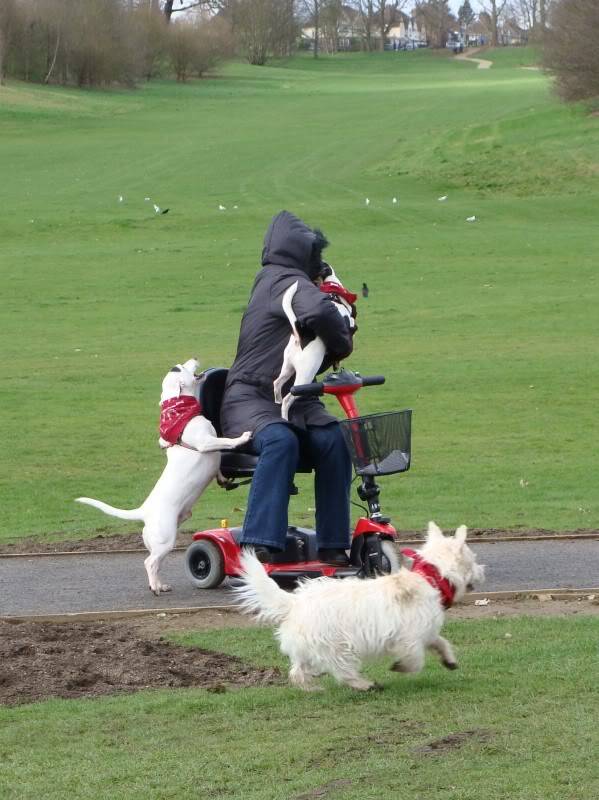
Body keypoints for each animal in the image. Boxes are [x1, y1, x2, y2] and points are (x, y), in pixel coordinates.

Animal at [77, 360, 251, 596]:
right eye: (179, 368)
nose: (193, 358)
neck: (179, 411)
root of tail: (143, 511)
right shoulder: (206, 442)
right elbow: (225, 442)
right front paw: (242, 437)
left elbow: (219, 465)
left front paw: (223, 478)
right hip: (166, 539)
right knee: (149, 562)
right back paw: (155, 588)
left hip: (161, 542)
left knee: (156, 563)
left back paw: (159, 584)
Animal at [237, 520, 486, 692]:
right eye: (474, 559)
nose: (483, 571)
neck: (431, 576)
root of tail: (294, 601)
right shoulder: (410, 637)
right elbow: (416, 659)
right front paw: (402, 667)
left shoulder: (426, 631)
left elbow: (440, 642)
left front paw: (449, 659)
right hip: (338, 647)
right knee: (342, 671)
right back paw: (365, 684)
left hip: (308, 647)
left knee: (297, 672)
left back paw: (313, 687)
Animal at [276, 268, 358, 418]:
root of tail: (301, 335)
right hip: (305, 377)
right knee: (287, 400)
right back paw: (284, 416)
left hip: (287, 367)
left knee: (276, 384)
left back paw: (277, 401)